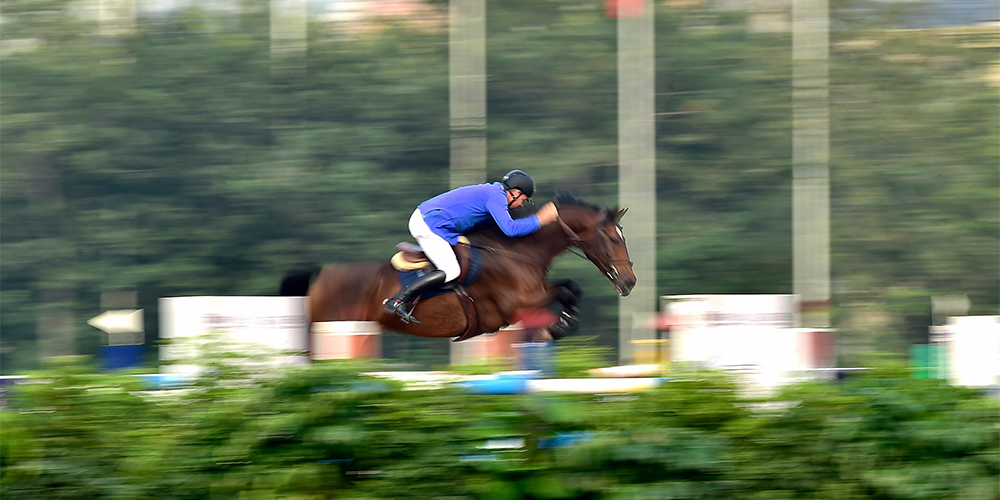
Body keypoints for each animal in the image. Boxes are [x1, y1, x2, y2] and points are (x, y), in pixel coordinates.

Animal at [280, 195, 640, 344]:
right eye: (612, 239)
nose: (630, 281)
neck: (516, 251)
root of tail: (319, 276)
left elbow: (571, 288)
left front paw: (561, 325)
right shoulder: (518, 302)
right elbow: (566, 290)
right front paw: (557, 327)